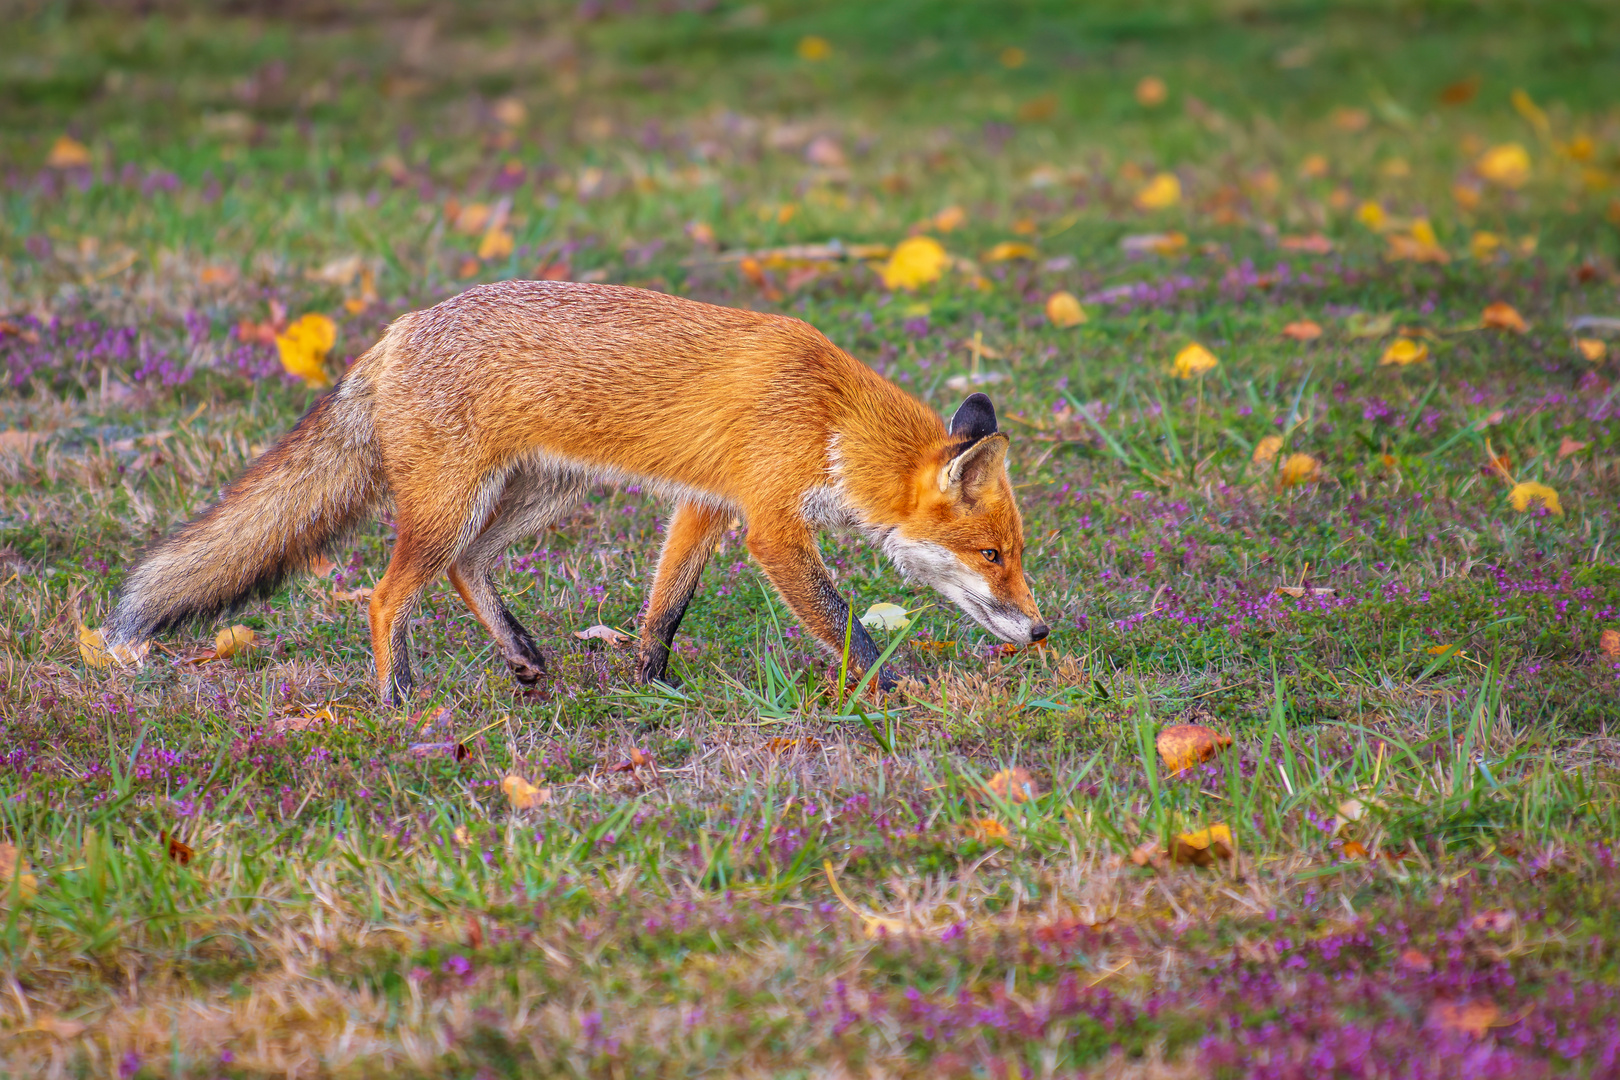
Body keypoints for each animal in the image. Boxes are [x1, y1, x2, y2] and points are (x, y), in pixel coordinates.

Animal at [104, 278, 1049, 702]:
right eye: (990, 554)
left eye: (1016, 553)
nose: (1041, 630)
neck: (830, 419)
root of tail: (398, 330)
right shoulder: (771, 525)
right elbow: (845, 622)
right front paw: (900, 688)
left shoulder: (707, 503)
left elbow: (666, 606)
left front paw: (650, 681)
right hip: (453, 508)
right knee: (382, 595)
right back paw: (399, 698)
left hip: (534, 498)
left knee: (465, 570)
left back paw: (521, 657)